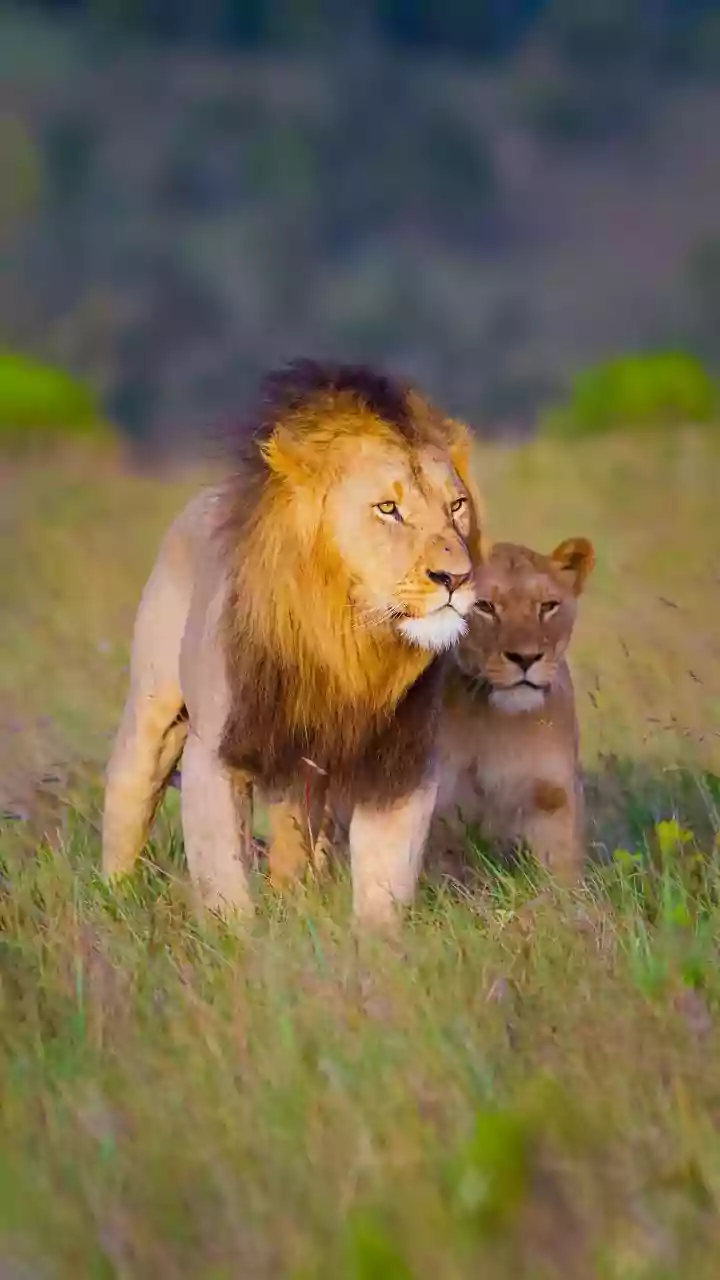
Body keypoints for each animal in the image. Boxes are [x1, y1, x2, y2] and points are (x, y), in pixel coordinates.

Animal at [101, 360, 484, 926]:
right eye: (387, 508)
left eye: (457, 506)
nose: (456, 577)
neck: (348, 640)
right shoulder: (218, 751)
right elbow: (223, 878)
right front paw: (240, 941)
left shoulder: (401, 763)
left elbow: (385, 879)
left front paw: (376, 946)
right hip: (154, 713)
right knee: (130, 794)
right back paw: (115, 896)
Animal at [428, 537, 595, 883]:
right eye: (485, 606)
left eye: (547, 606)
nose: (525, 658)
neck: (503, 724)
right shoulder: (443, 810)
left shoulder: (555, 800)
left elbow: (563, 878)